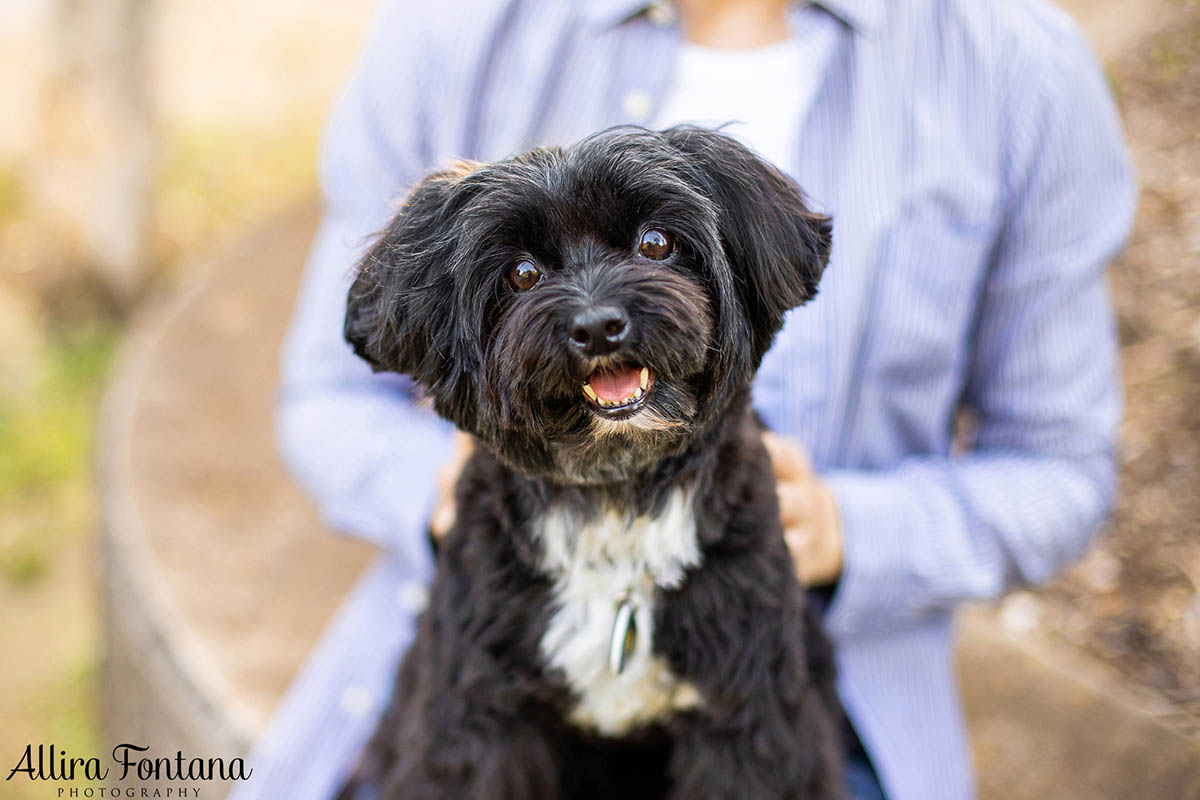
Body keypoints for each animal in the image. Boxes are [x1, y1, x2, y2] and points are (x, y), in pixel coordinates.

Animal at [338, 126, 844, 800]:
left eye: (655, 243)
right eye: (522, 273)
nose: (598, 325)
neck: (614, 499)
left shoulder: (751, 716)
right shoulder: (478, 718)